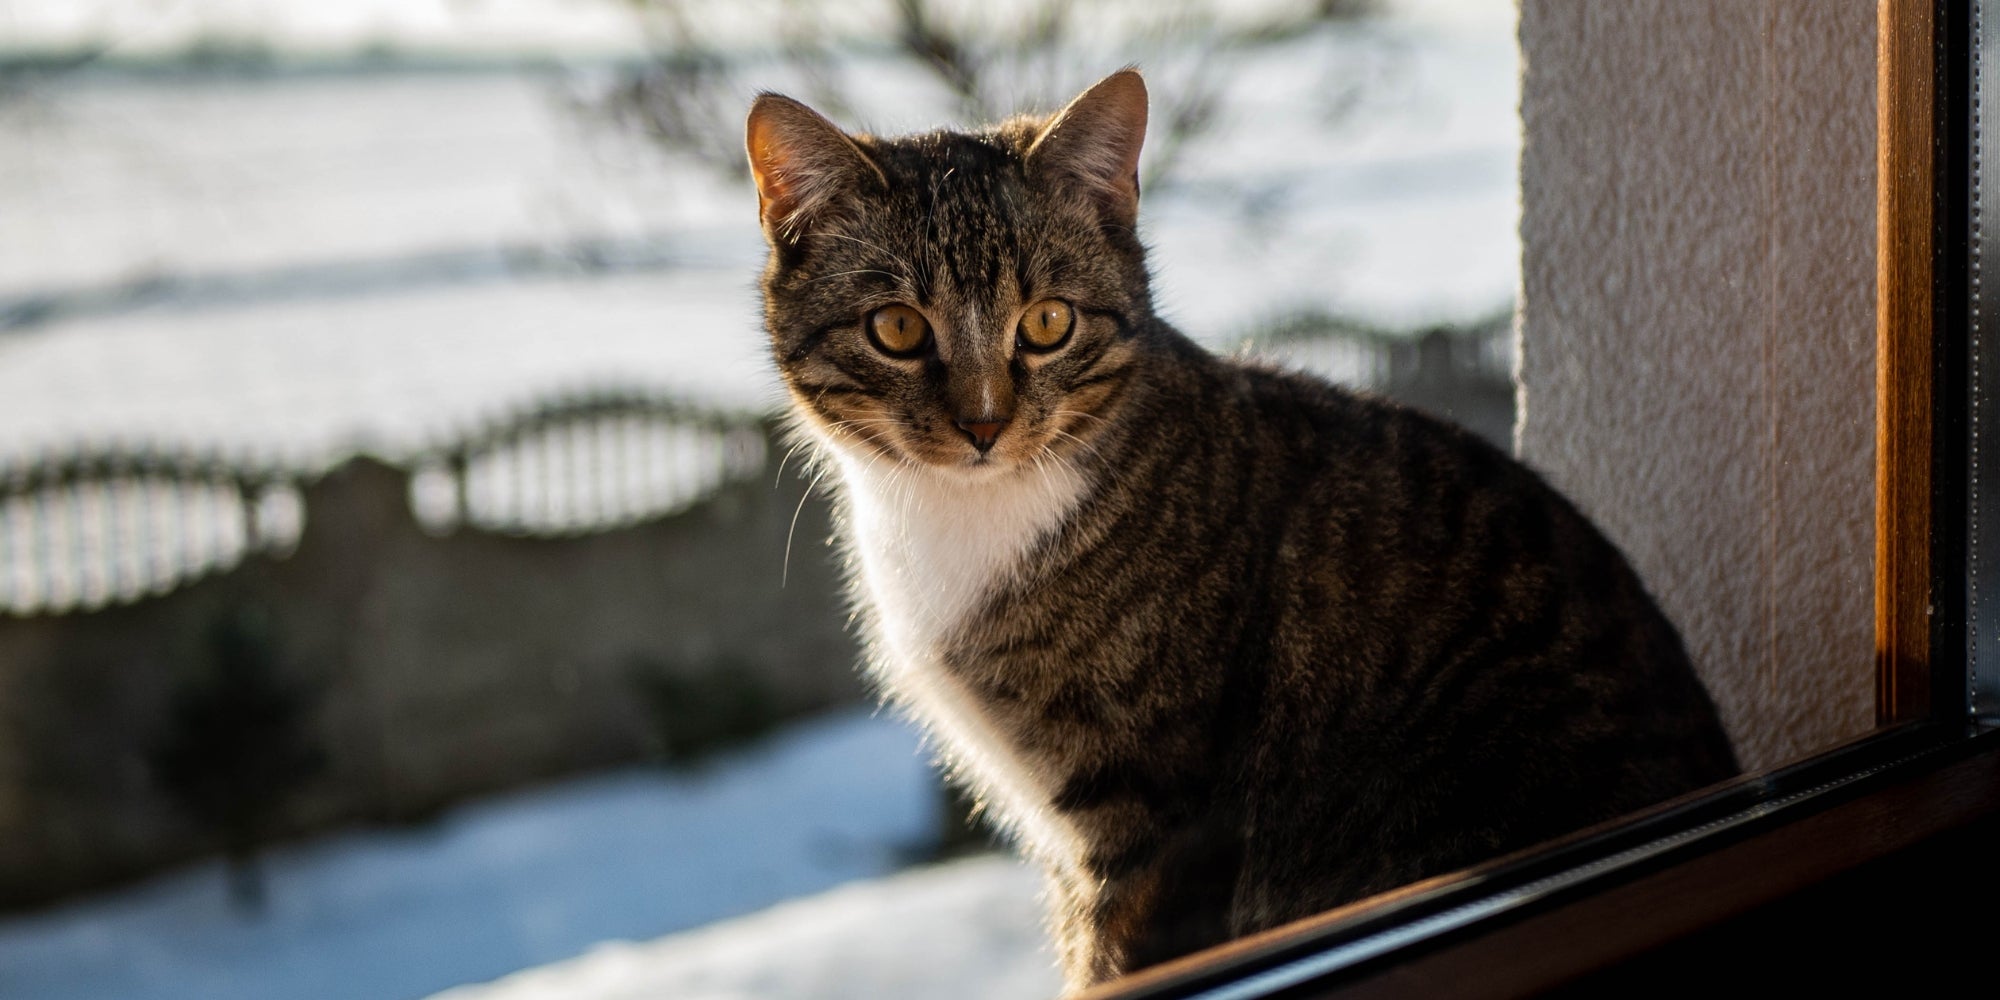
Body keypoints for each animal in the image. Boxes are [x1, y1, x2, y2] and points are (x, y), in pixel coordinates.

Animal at [744, 72, 1744, 992]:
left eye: (1048, 322)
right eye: (898, 329)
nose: (984, 425)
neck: (961, 516)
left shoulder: (1154, 815)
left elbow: (1111, 959)